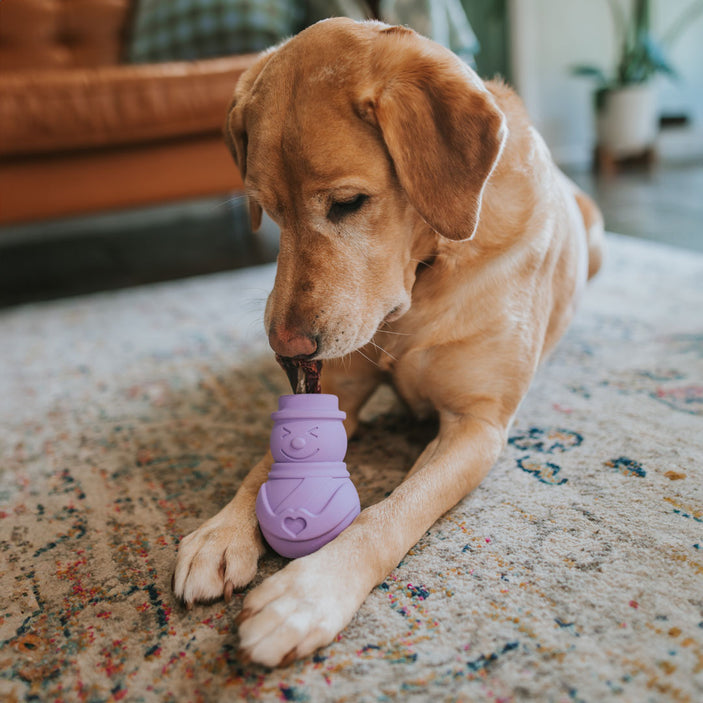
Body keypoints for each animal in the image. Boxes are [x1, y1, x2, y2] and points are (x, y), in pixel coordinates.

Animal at [172, 16, 604, 664]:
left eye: (349, 202)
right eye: (267, 210)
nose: (286, 349)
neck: (426, 274)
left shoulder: (476, 426)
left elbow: (394, 510)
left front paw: (308, 593)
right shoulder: (339, 389)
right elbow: (267, 459)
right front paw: (219, 532)